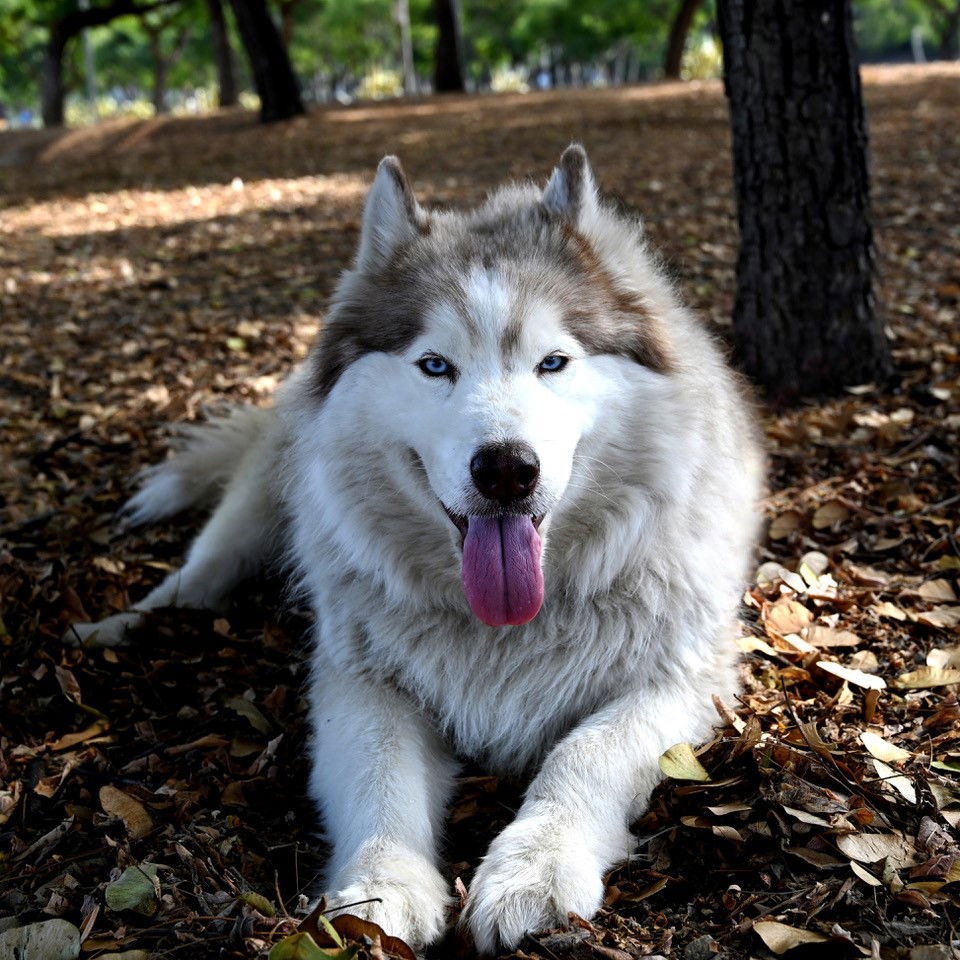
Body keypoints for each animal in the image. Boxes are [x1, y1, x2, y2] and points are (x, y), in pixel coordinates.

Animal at [71, 148, 764, 952]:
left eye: (553, 362)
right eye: (435, 365)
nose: (506, 469)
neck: (508, 628)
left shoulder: (680, 682)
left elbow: (584, 754)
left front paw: (537, 868)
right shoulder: (359, 681)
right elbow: (381, 775)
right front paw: (379, 891)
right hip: (264, 495)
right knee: (200, 569)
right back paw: (116, 629)